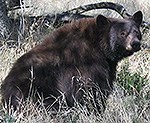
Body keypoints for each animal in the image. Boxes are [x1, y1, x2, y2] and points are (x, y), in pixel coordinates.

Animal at [0, 11, 143, 112]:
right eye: (122, 33)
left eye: (137, 32)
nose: (135, 43)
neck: (99, 46)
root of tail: (5, 93)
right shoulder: (87, 66)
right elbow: (91, 91)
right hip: (37, 90)